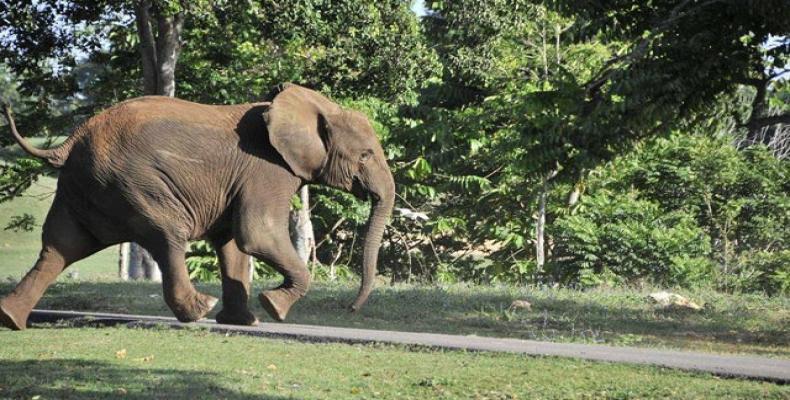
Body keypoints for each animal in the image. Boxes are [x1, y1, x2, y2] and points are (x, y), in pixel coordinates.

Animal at [0, 83, 396, 330]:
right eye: (366, 155)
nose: (350, 308)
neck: (314, 106)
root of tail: (70, 141)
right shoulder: (268, 169)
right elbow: (257, 234)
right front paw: (274, 308)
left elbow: (233, 242)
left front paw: (246, 322)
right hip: (133, 183)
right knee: (167, 235)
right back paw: (197, 310)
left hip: (84, 187)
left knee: (61, 246)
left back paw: (10, 319)